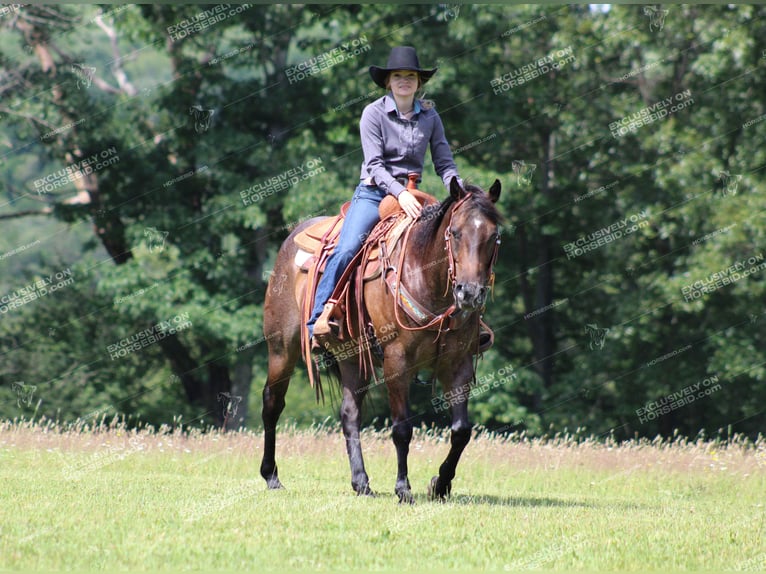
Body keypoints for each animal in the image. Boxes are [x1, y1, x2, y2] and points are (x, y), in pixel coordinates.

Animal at [262, 177, 504, 504]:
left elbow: (461, 430)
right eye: (455, 233)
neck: (424, 276)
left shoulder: (459, 363)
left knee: (350, 414)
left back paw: (361, 482)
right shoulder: (397, 362)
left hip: (352, 358)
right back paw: (271, 476)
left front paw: (439, 485)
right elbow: (402, 428)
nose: (470, 293)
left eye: (494, 236)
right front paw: (403, 489)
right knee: (272, 403)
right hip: (281, 350)